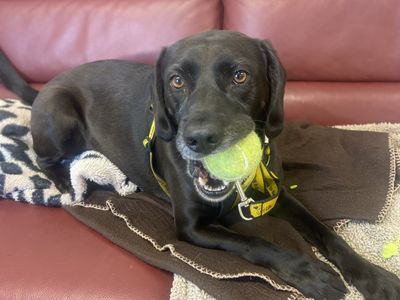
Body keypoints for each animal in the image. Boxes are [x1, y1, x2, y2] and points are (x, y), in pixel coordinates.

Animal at [0, 31, 400, 300]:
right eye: (176, 80)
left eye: (240, 75)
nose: (199, 139)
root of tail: (45, 87)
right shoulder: (192, 228)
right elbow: (256, 241)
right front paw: (309, 273)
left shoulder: (278, 195)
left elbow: (326, 233)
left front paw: (374, 277)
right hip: (59, 112)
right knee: (44, 157)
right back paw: (66, 182)